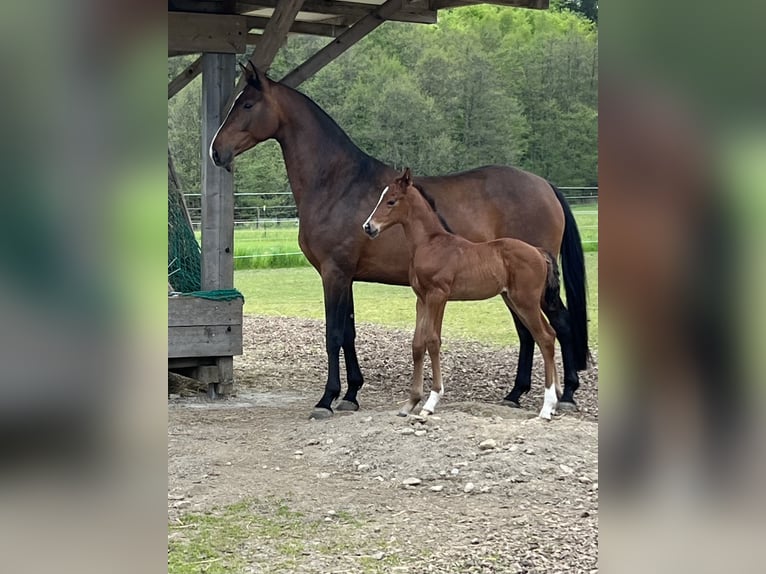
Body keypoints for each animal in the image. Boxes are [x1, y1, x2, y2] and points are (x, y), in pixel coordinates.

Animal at [366, 169, 564, 420]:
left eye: (391, 201)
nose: (368, 227)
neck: (430, 243)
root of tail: (538, 252)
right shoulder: (421, 299)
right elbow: (417, 344)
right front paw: (410, 403)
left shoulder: (438, 296)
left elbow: (433, 340)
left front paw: (431, 402)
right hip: (515, 300)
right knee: (548, 335)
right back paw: (555, 401)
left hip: (526, 301)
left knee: (546, 338)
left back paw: (546, 408)